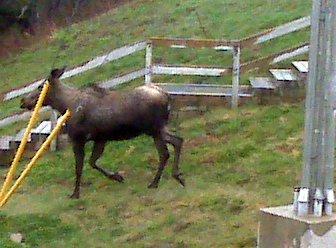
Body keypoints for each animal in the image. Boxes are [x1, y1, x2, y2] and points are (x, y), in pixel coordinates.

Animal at [21, 67, 184, 199]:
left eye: (40, 86)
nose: (23, 101)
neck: (65, 106)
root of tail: (166, 95)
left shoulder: (78, 138)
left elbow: (79, 167)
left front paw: (75, 193)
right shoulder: (100, 139)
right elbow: (92, 162)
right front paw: (117, 176)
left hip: (153, 129)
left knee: (164, 153)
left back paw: (155, 182)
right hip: (158, 129)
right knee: (178, 140)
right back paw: (177, 176)